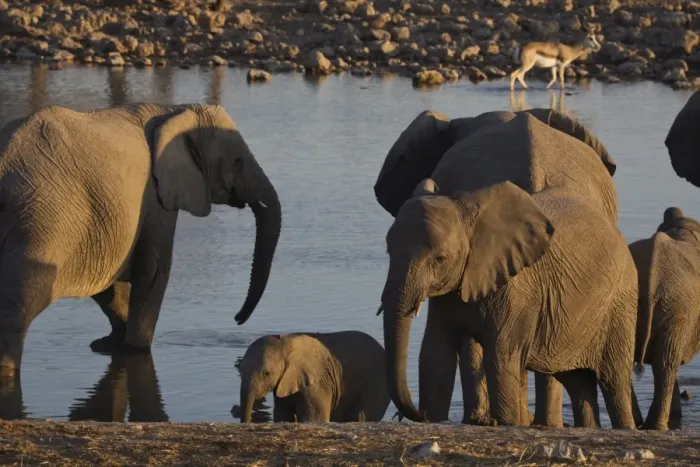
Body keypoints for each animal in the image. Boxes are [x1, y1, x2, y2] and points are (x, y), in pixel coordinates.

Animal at [0, 103, 282, 379]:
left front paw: (108, 344)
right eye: (237, 161)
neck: (176, 110)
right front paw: (135, 349)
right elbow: (155, 271)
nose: (237, 319)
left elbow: (110, 285)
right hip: (39, 222)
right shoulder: (156, 198)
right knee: (20, 306)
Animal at [238, 331, 390, 423]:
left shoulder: (316, 382)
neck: (285, 342)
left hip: (377, 384)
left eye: (266, 373)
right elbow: (283, 415)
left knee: (360, 416)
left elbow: (315, 419)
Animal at [375, 109, 638, 428]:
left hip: (618, 303)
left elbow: (499, 357)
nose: (410, 412)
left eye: (439, 259)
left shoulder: (513, 289)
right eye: (388, 251)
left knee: (612, 380)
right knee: (576, 380)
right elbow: (435, 356)